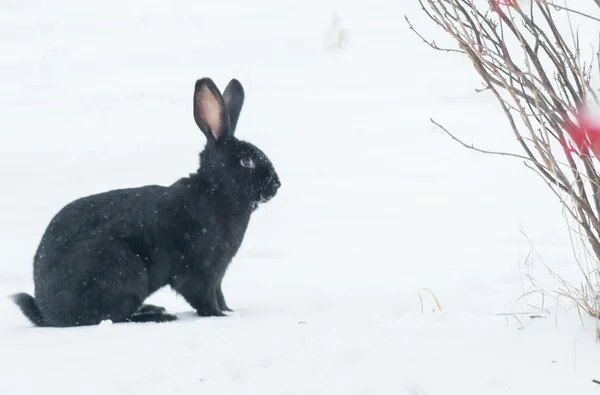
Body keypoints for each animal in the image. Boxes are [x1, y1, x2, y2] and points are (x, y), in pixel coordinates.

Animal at [9, 77, 282, 328]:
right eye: (246, 161)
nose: (277, 185)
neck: (215, 191)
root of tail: (48, 314)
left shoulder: (217, 274)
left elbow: (219, 293)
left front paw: (229, 311)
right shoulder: (199, 268)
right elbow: (202, 296)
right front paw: (219, 315)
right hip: (119, 267)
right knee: (112, 317)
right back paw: (158, 315)